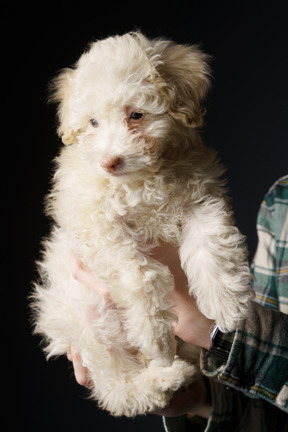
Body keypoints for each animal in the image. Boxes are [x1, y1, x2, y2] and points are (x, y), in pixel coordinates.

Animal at [33, 32, 252, 416]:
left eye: (136, 114)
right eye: (93, 123)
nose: (109, 161)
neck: (143, 180)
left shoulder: (200, 199)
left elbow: (212, 243)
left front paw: (226, 302)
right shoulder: (97, 223)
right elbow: (138, 273)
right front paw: (154, 335)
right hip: (89, 324)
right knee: (118, 389)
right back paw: (164, 376)